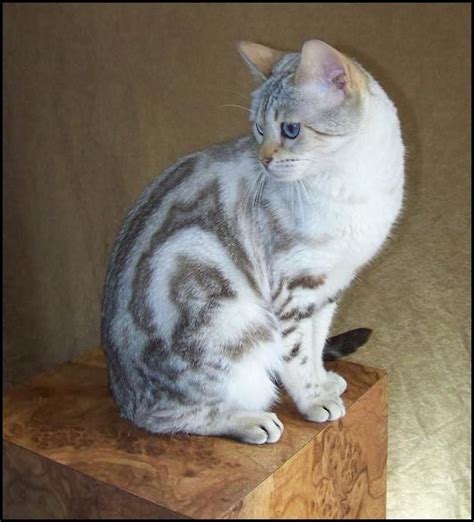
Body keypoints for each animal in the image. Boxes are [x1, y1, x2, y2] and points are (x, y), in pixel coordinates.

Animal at [100, 38, 404, 442]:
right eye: (259, 129)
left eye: (290, 129)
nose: (264, 159)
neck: (355, 184)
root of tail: (120, 394)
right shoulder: (292, 292)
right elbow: (297, 357)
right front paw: (314, 401)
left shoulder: (327, 291)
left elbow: (316, 345)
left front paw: (324, 382)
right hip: (232, 320)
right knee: (169, 417)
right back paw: (251, 420)